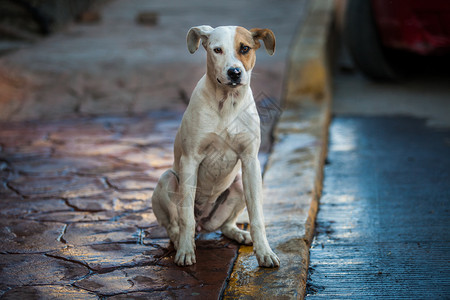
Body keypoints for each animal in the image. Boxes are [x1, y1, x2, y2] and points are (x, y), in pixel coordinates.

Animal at [151, 25, 280, 268]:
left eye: (245, 48)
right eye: (217, 50)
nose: (235, 72)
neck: (227, 103)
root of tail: (204, 222)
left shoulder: (250, 161)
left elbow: (257, 216)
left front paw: (264, 252)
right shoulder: (190, 159)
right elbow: (185, 218)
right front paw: (185, 251)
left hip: (238, 184)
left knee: (225, 225)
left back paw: (239, 233)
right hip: (168, 179)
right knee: (175, 224)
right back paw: (179, 241)